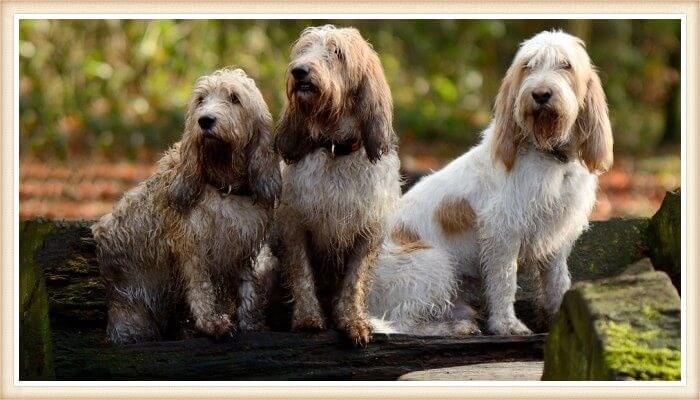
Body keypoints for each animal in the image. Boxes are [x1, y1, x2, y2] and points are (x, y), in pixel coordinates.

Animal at [91, 69, 280, 344]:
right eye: (201, 99)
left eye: (235, 98)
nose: (205, 121)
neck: (223, 183)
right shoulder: (193, 246)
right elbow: (201, 288)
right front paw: (211, 323)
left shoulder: (241, 245)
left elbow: (248, 289)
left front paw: (251, 323)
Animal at [272, 26, 402, 346]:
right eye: (303, 50)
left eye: (337, 53)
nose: (299, 71)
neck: (335, 148)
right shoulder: (295, 225)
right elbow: (302, 274)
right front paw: (308, 319)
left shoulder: (367, 232)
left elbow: (354, 282)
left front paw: (353, 321)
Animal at [370, 31, 608, 336]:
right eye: (528, 66)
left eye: (565, 65)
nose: (540, 94)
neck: (549, 156)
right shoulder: (502, 232)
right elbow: (504, 281)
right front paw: (507, 325)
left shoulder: (556, 235)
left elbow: (557, 281)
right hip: (434, 264)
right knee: (399, 323)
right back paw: (452, 328)